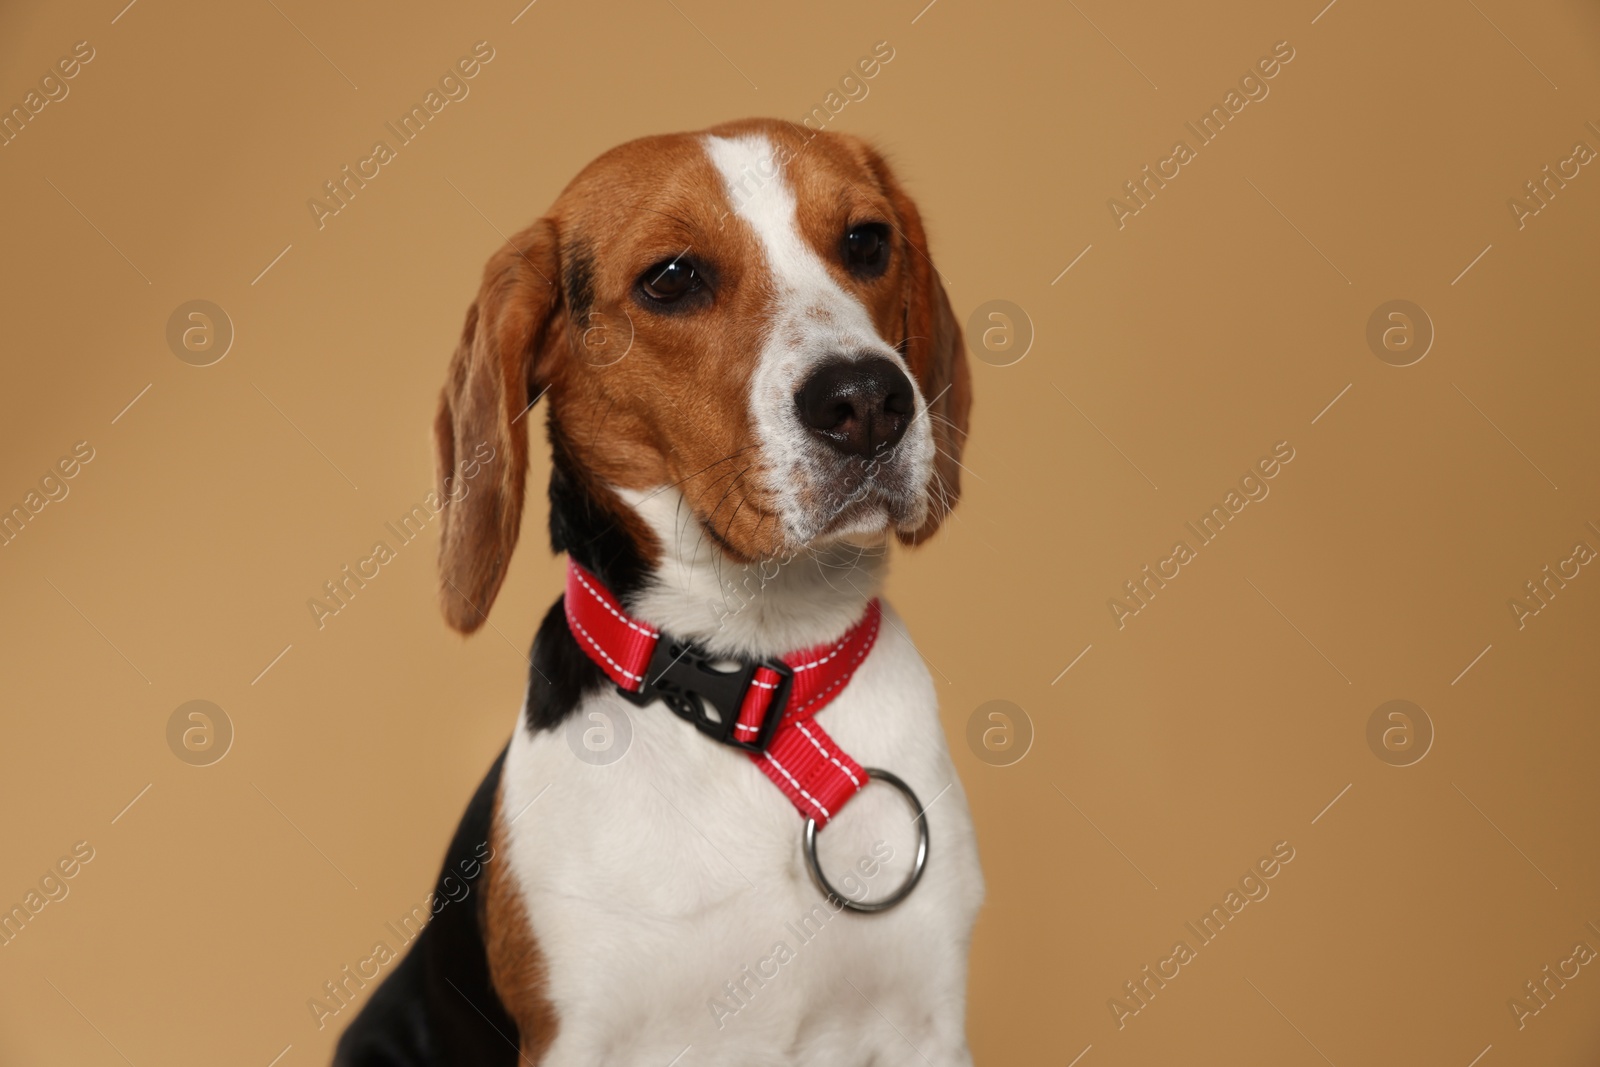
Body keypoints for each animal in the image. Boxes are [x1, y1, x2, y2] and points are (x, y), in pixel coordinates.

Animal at [336, 119, 979, 1067]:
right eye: (672, 278)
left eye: (867, 241)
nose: (868, 399)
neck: (752, 686)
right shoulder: (579, 1037)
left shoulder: (924, 1024)